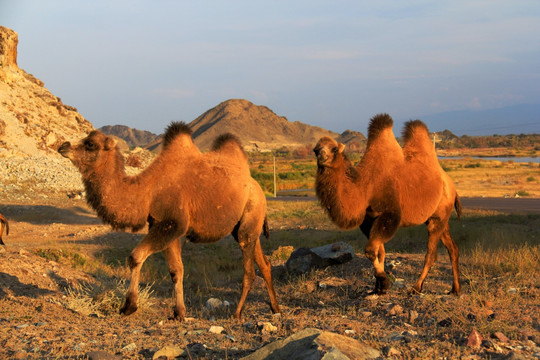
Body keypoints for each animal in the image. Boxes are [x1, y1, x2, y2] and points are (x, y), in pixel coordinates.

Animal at [58, 122, 278, 320]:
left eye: (90, 144)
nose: (63, 146)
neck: (147, 191)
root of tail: (258, 187)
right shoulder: (161, 224)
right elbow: (176, 270)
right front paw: (179, 313)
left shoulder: (172, 222)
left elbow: (135, 257)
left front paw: (129, 306)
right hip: (244, 226)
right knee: (264, 262)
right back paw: (275, 308)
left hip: (251, 213)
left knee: (249, 270)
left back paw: (237, 313)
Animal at [314, 114, 462, 296]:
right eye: (315, 150)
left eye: (334, 149)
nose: (321, 156)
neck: (366, 186)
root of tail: (452, 186)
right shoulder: (368, 220)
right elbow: (380, 252)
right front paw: (377, 287)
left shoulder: (389, 214)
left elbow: (371, 250)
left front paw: (384, 282)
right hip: (439, 217)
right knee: (452, 247)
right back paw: (455, 289)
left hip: (438, 216)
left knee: (431, 253)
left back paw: (417, 287)